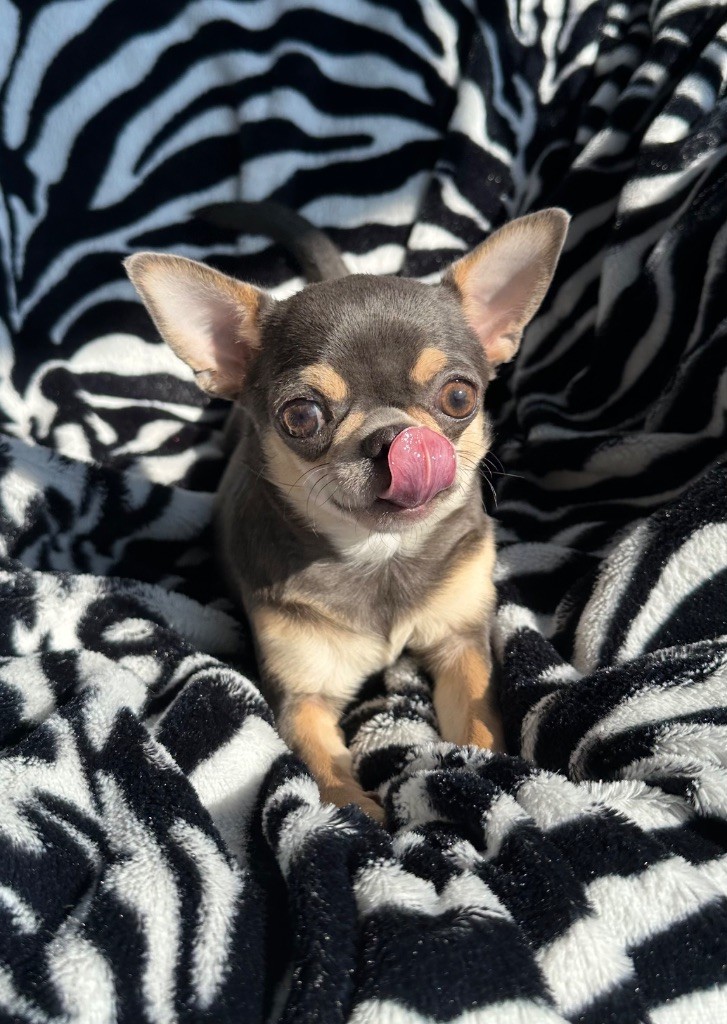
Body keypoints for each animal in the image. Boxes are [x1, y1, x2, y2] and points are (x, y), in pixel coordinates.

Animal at [125, 201, 569, 821]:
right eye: (301, 416)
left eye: (459, 397)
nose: (392, 437)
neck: (380, 556)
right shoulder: (302, 699)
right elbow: (327, 771)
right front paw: (358, 819)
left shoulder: (460, 644)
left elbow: (479, 724)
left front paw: (484, 770)